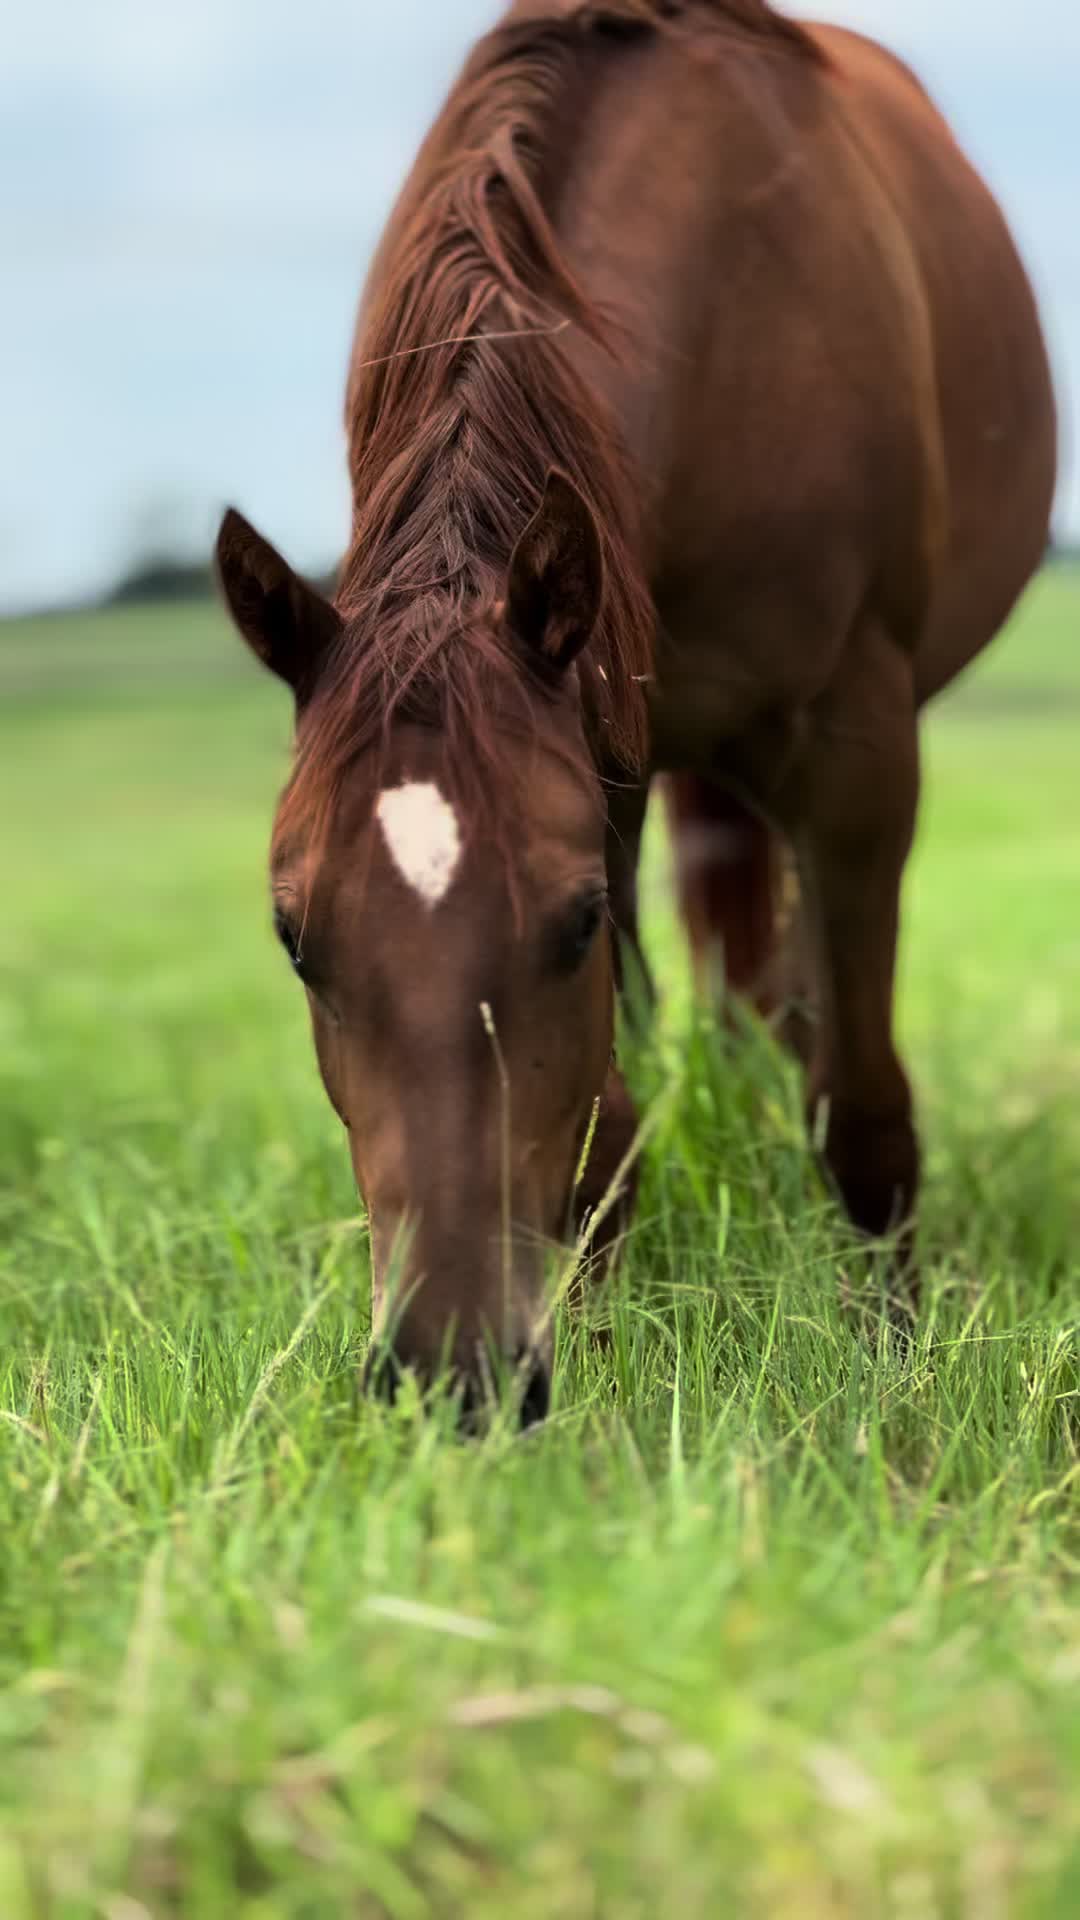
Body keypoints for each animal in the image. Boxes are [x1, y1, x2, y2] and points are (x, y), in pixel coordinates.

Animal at [216, 0, 1056, 1421]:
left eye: (571, 926)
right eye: (292, 939)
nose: (449, 1373)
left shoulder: (857, 752)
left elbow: (863, 1109)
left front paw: (892, 1367)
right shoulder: (603, 761)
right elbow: (604, 1131)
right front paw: (606, 1372)